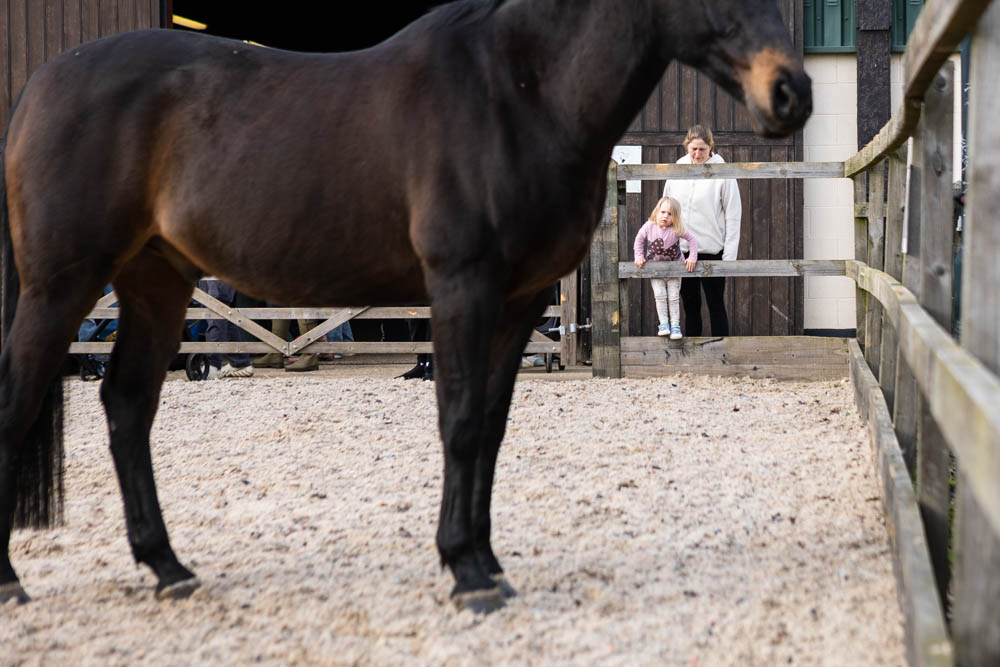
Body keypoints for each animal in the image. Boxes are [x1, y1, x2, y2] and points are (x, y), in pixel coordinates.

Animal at [1, 0, 811, 613]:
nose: (792, 93)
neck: (521, 92)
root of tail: (41, 82)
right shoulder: (462, 289)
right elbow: (458, 422)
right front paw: (466, 572)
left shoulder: (517, 304)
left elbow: (490, 430)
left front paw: (485, 560)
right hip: (62, 284)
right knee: (21, 399)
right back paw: (14, 581)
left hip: (156, 280)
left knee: (128, 403)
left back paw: (168, 566)